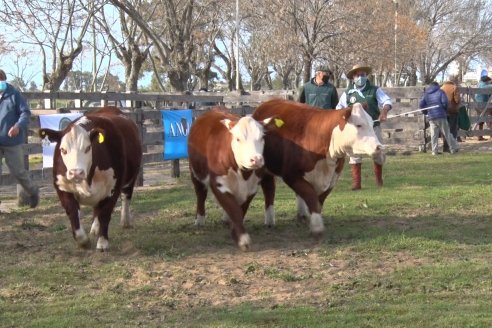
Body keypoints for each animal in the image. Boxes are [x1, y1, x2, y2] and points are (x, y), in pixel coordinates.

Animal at [39, 106, 142, 250]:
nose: (76, 173)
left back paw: (125, 221)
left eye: (88, 148)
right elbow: (73, 213)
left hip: (131, 178)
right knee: (97, 209)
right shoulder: (63, 188)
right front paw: (83, 240)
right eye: (63, 150)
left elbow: (105, 214)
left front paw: (103, 242)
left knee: (126, 196)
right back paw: (94, 229)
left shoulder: (113, 188)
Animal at [186, 109, 274, 250]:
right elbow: (234, 209)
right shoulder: (218, 184)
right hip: (195, 173)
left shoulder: (252, 187)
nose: (256, 159)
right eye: (238, 139)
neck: (243, 173)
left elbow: (241, 210)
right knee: (200, 195)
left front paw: (235, 230)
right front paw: (242, 239)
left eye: (261, 137)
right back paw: (199, 219)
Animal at [252, 100, 386, 236]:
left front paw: (314, 219)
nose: (379, 147)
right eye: (359, 125)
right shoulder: (291, 175)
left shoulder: (333, 177)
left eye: (371, 123)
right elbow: (310, 196)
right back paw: (270, 221)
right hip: (265, 169)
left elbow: (319, 200)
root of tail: (268, 103)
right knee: (269, 190)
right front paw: (316, 225)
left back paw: (302, 215)